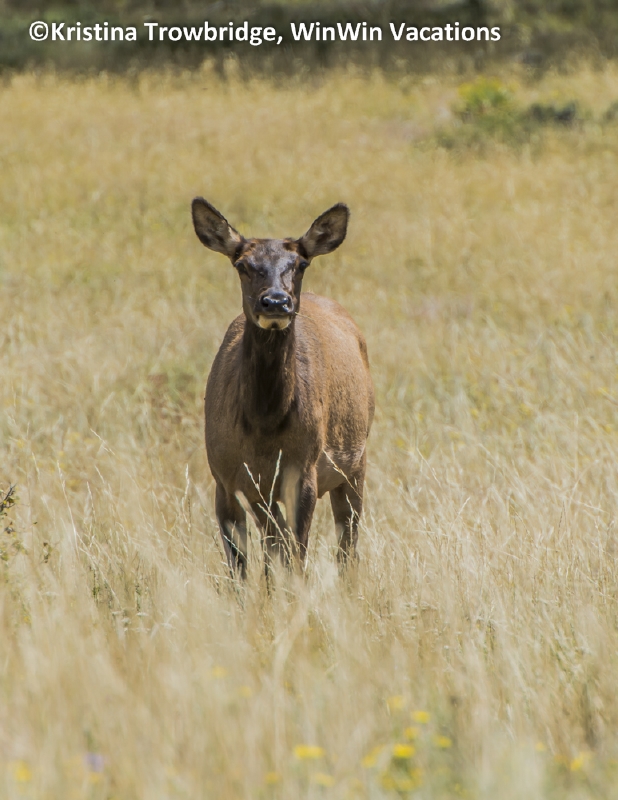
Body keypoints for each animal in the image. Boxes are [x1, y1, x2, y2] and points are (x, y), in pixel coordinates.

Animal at [192, 198, 374, 578]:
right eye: (243, 264)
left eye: (301, 264)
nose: (275, 302)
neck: (263, 428)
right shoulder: (223, 478)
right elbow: (240, 566)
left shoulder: (303, 470)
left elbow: (296, 560)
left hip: (356, 461)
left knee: (347, 545)